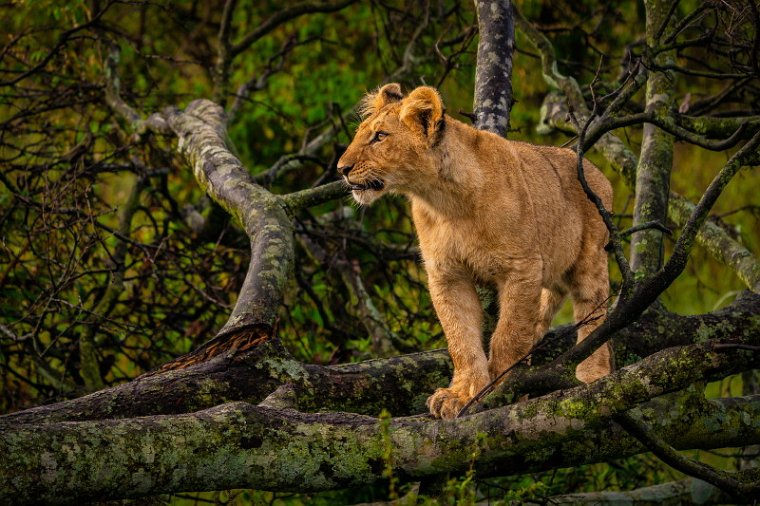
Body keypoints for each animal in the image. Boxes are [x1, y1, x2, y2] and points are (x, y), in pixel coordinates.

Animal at [336, 84, 612, 420]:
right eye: (361, 134)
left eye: (380, 136)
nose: (342, 169)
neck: (444, 201)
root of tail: (595, 171)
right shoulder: (447, 275)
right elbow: (461, 338)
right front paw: (462, 394)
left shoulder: (521, 268)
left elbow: (508, 335)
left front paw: (501, 389)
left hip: (590, 258)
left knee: (593, 311)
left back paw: (591, 372)